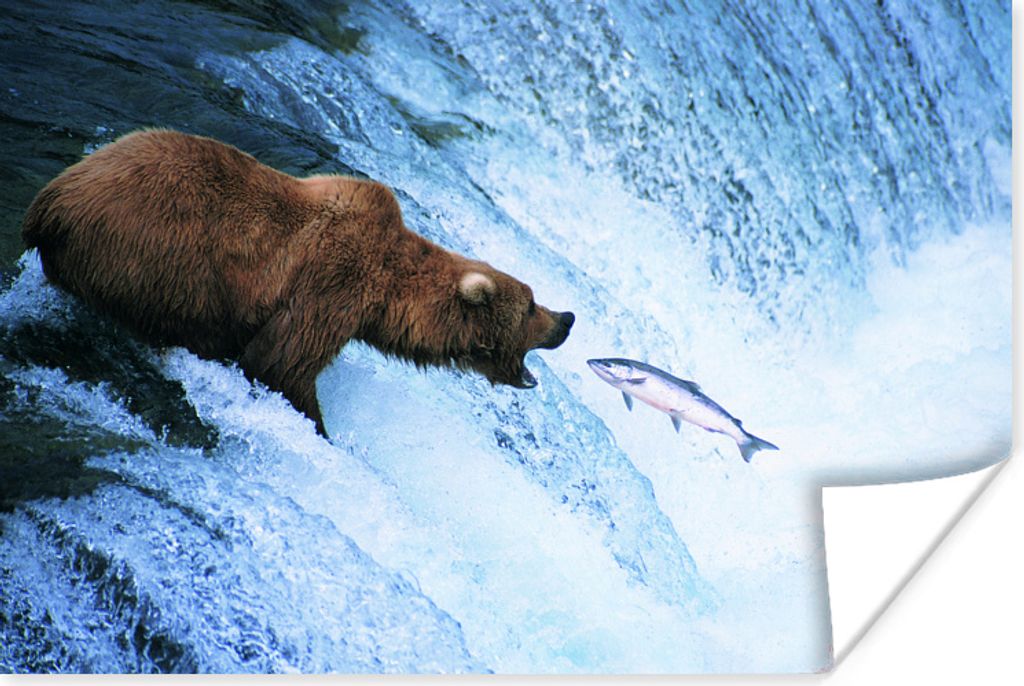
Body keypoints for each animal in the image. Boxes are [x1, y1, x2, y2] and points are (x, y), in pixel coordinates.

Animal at [21, 129, 575, 436]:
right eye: (530, 304)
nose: (567, 318)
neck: (386, 293)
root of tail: (51, 201)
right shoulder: (332, 285)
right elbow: (282, 363)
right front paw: (318, 427)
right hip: (158, 254)